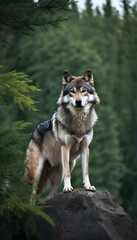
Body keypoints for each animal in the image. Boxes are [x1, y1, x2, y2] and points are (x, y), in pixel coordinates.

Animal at [24, 69, 99, 201]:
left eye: (83, 91)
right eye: (72, 92)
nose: (78, 101)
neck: (79, 122)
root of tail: (34, 132)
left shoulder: (85, 147)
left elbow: (85, 171)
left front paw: (88, 186)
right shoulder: (65, 147)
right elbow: (67, 173)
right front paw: (68, 188)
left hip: (66, 168)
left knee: (50, 194)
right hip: (36, 172)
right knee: (33, 193)